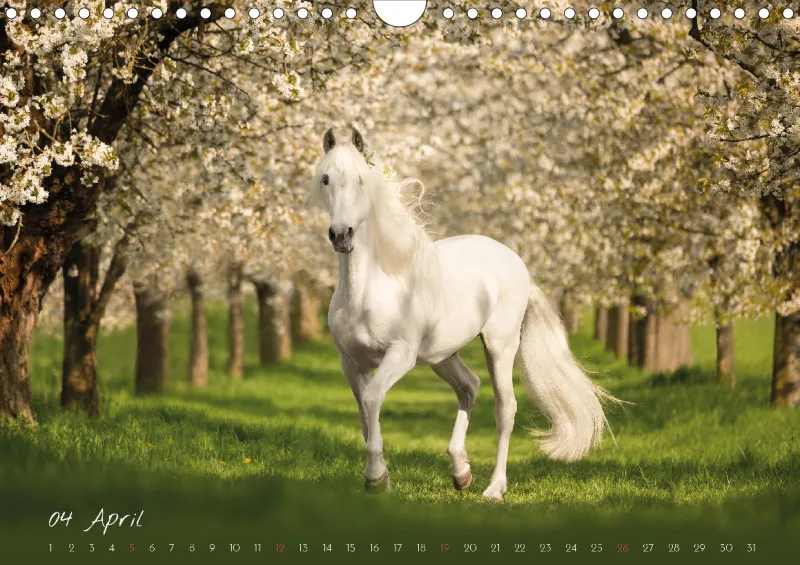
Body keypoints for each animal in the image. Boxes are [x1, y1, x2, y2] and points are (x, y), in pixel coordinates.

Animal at [312, 127, 617, 501]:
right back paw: (461, 473)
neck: (370, 290)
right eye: (325, 178)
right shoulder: (350, 362)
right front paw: (380, 476)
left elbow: (372, 400)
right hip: (443, 355)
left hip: (500, 347)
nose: (341, 235)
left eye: (361, 179)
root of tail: (518, 264)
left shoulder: (400, 355)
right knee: (469, 386)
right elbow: (365, 415)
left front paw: (376, 478)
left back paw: (494, 488)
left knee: (505, 408)